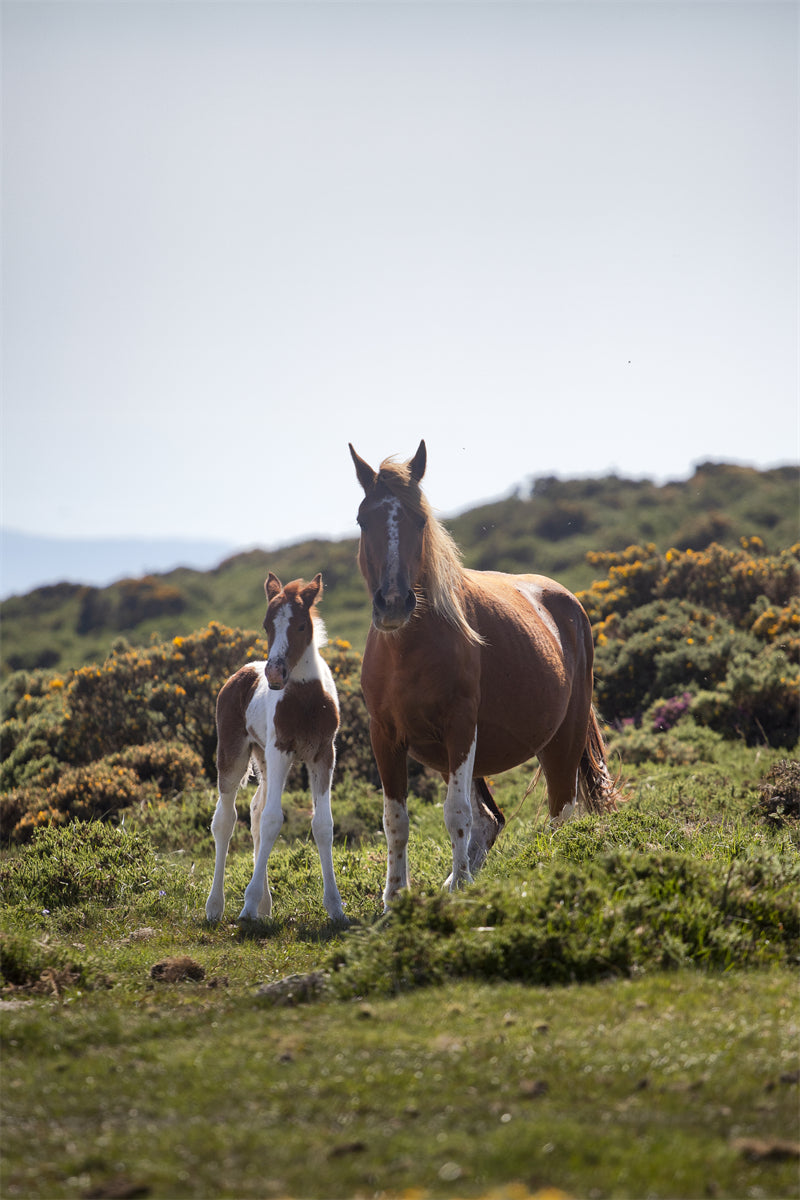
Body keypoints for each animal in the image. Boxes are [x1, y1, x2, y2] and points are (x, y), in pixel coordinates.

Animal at [205, 573, 346, 924]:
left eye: (301, 626)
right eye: (267, 624)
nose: (274, 674)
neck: (306, 700)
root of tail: (243, 672)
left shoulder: (324, 755)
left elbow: (322, 825)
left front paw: (336, 908)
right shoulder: (281, 749)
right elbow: (273, 820)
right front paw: (247, 906)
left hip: (265, 760)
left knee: (255, 811)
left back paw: (265, 906)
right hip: (234, 757)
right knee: (225, 820)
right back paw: (216, 906)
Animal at [349, 439, 621, 909]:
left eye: (420, 519)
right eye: (364, 520)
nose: (394, 603)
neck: (409, 649)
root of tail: (567, 601)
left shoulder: (460, 728)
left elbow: (455, 813)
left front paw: (458, 888)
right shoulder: (385, 735)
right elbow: (396, 818)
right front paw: (395, 898)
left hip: (561, 740)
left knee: (561, 810)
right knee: (492, 819)